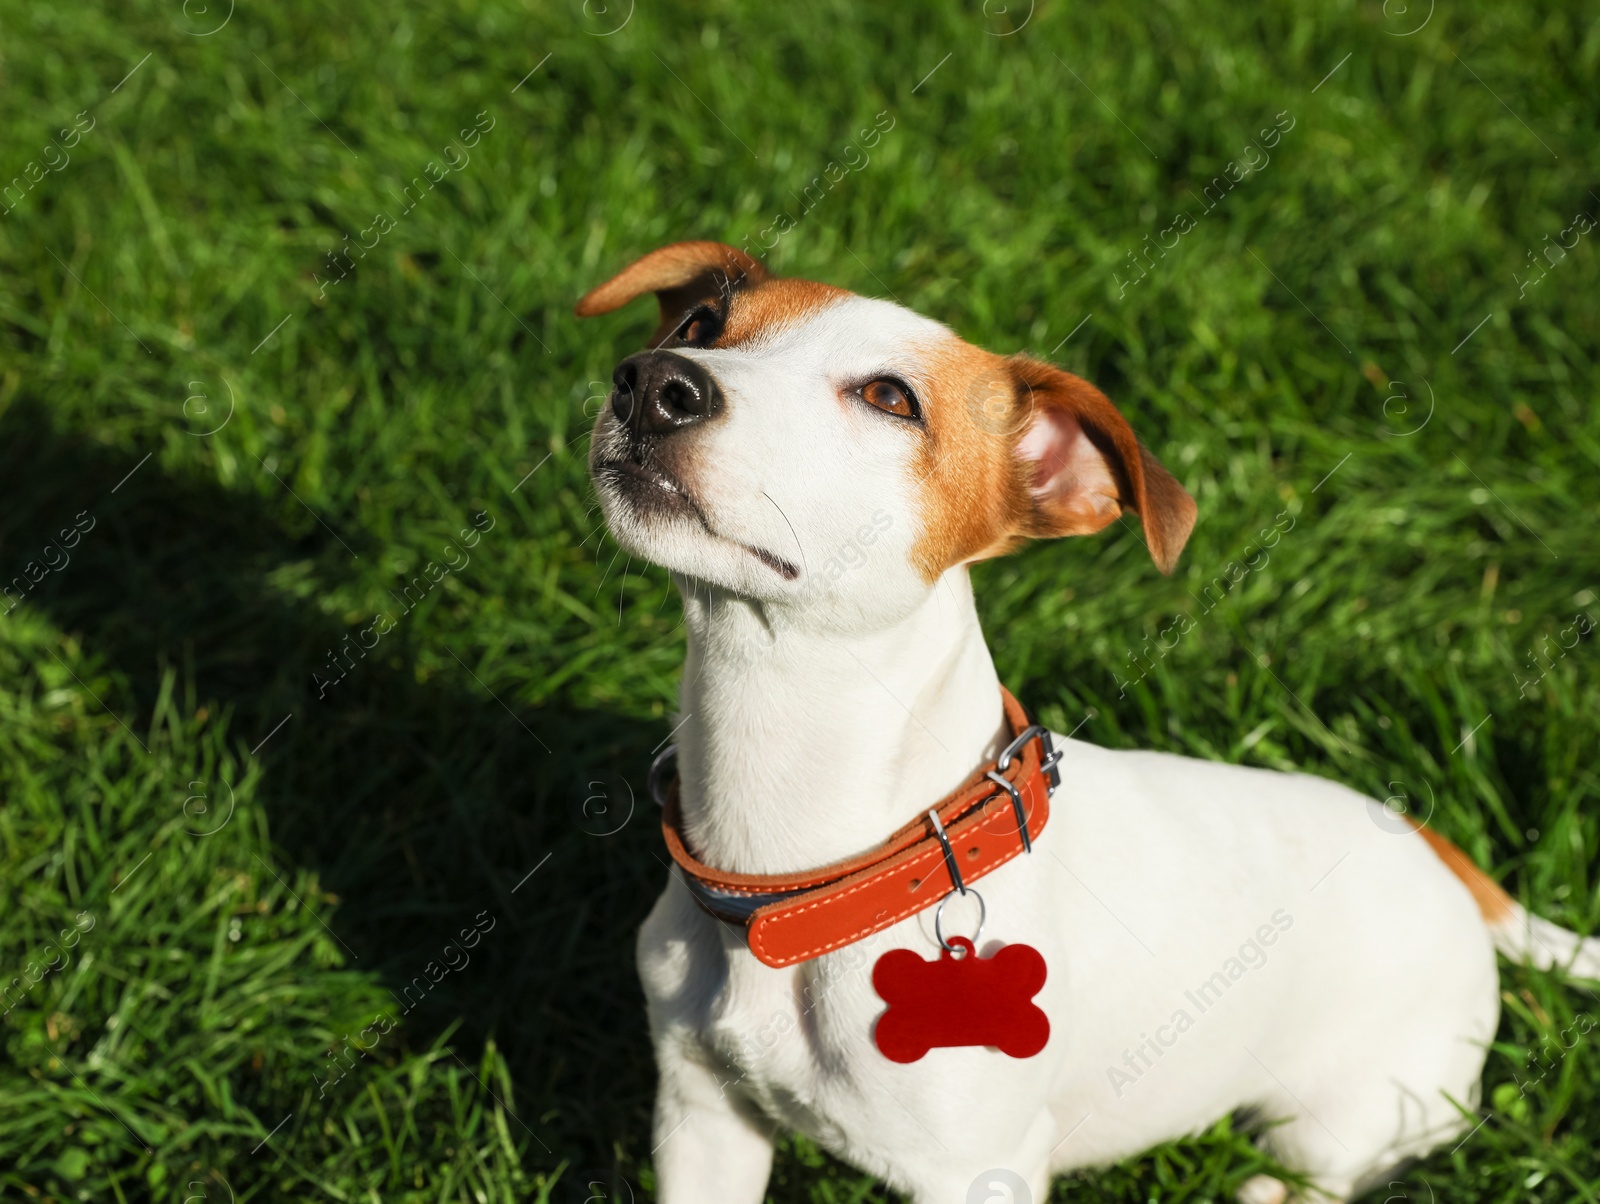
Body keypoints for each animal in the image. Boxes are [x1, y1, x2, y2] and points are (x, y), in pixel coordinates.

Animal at [572, 244, 1587, 1204]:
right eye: (702, 324)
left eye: (890, 397)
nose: (653, 381)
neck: (795, 869)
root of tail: (1435, 849)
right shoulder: (702, 1116)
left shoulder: (978, 1172)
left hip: (1354, 1113)